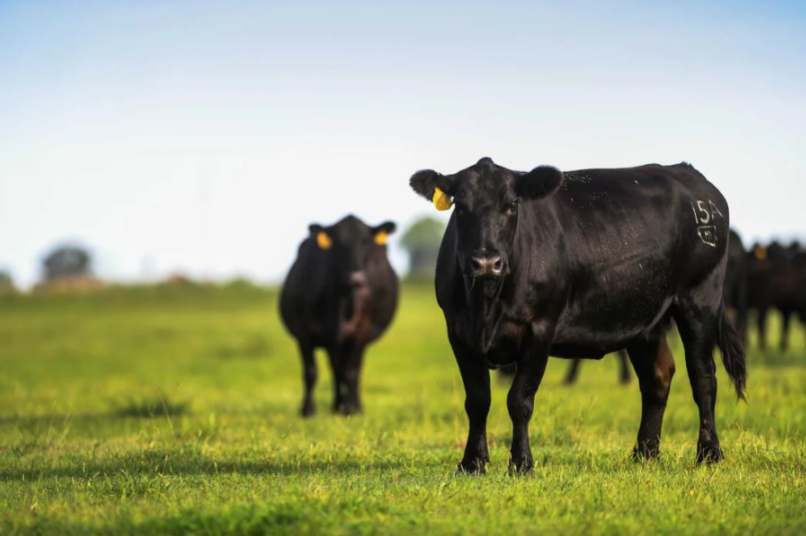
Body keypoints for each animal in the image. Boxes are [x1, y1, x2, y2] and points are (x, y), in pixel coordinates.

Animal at [279, 215, 399, 417]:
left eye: (366, 242)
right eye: (338, 244)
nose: (356, 278)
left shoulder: (360, 331)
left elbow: (351, 371)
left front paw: (352, 409)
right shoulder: (305, 333)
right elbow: (311, 371)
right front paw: (308, 410)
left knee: (350, 369)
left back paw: (351, 405)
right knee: (336, 369)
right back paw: (337, 405)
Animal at [409, 157, 746, 474]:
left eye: (511, 205)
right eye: (460, 206)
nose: (486, 263)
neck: (487, 304)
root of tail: (690, 176)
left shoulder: (539, 329)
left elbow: (519, 400)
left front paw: (522, 463)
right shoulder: (459, 332)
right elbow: (478, 400)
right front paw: (472, 463)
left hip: (699, 298)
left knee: (703, 376)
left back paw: (709, 453)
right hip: (644, 319)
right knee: (658, 377)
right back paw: (644, 453)